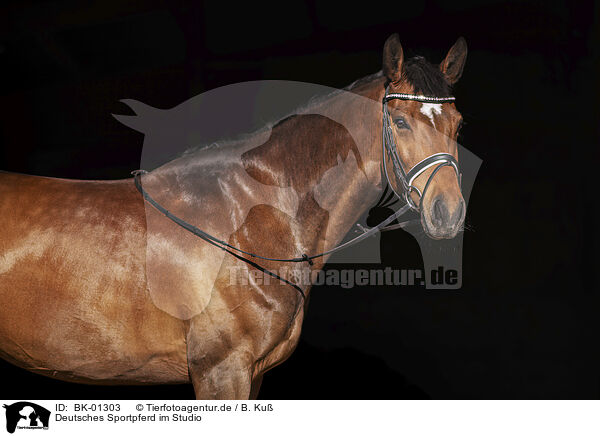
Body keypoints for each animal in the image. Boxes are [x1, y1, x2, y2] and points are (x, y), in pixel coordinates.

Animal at [0, 35, 466, 400]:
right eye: (400, 122)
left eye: (458, 125)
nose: (449, 212)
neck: (250, 215)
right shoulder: (221, 371)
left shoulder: (251, 375)